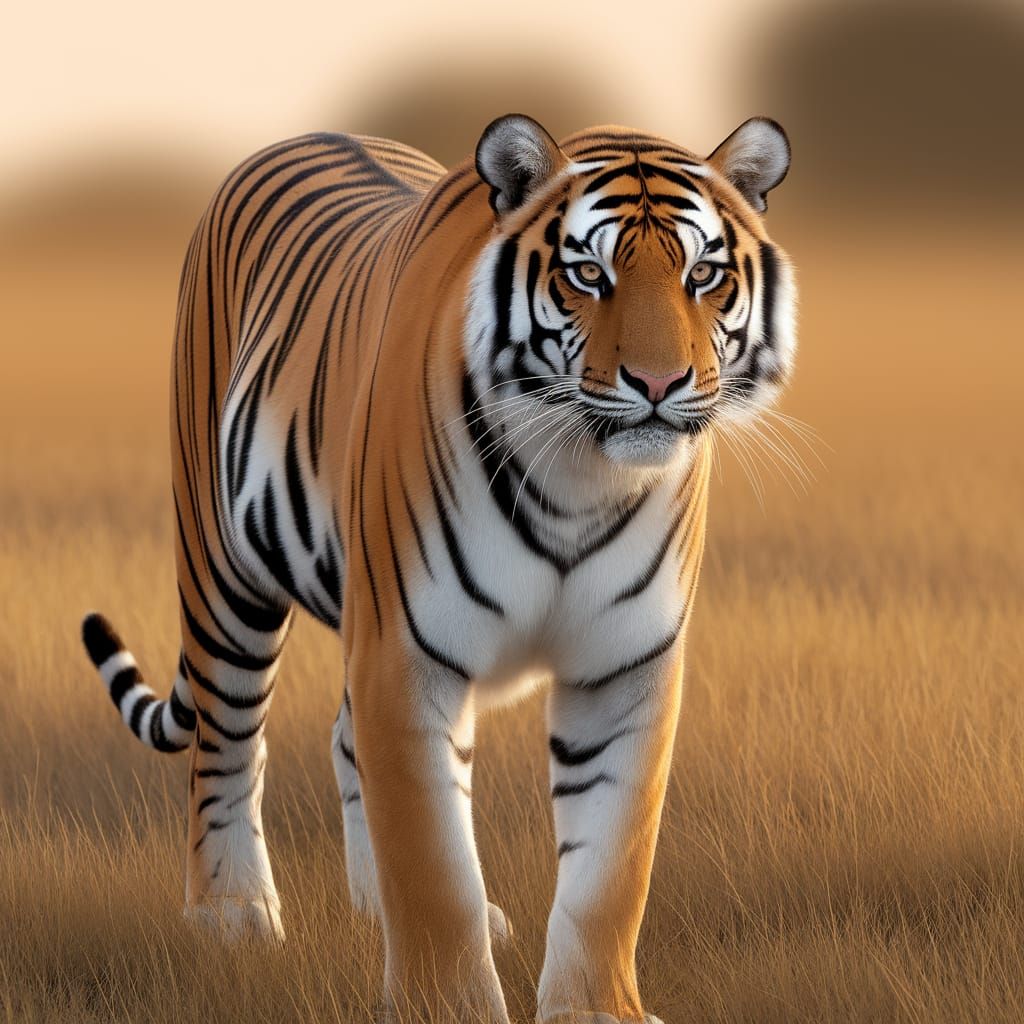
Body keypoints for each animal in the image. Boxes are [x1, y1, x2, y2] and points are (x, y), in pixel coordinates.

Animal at [81, 113, 795, 1023]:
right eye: (587, 274)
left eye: (703, 274)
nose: (660, 382)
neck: (580, 480)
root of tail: (299, 136)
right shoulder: (406, 652)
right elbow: (432, 856)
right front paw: (446, 1002)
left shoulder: (626, 666)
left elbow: (612, 864)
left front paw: (597, 1009)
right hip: (222, 570)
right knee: (228, 740)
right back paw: (231, 912)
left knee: (342, 740)